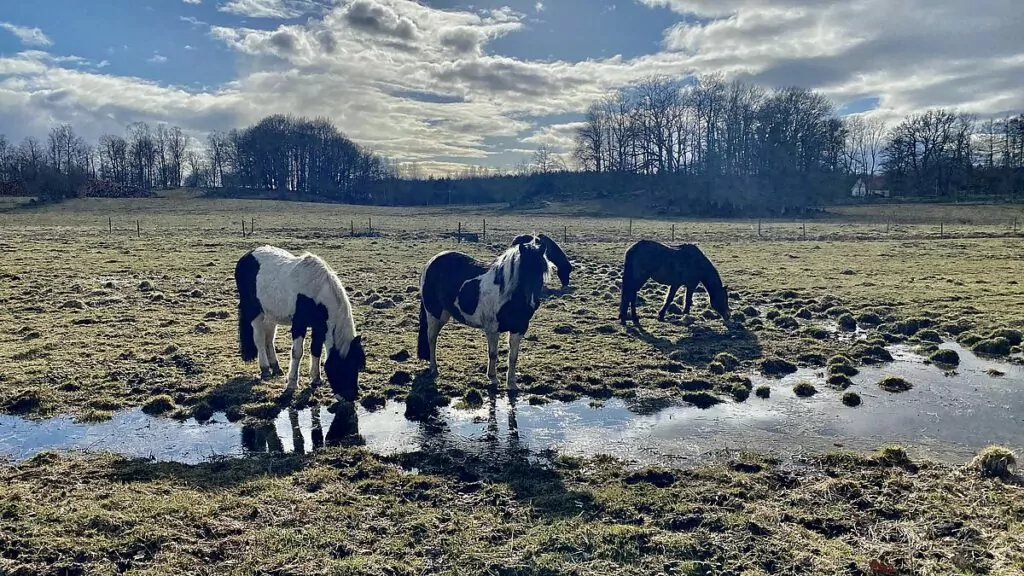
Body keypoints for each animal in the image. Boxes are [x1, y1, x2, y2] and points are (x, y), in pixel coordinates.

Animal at [234, 241, 366, 399]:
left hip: (271, 314)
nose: (351, 396)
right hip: (255, 311)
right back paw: (265, 369)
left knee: (269, 339)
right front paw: (291, 384)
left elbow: (316, 350)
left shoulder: (319, 326)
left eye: (357, 365)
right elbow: (297, 352)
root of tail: (247, 256)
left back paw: (276, 367)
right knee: (259, 339)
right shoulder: (299, 325)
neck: (316, 292)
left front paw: (315, 379)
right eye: (344, 366)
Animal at [415, 237, 548, 389]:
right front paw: (493, 378)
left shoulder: (519, 329)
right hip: (434, 315)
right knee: (432, 339)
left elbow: (513, 357)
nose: (533, 303)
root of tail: (431, 262)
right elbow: (493, 354)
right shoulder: (492, 329)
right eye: (523, 272)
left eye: (542, 271)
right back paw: (434, 368)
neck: (507, 295)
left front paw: (512, 384)